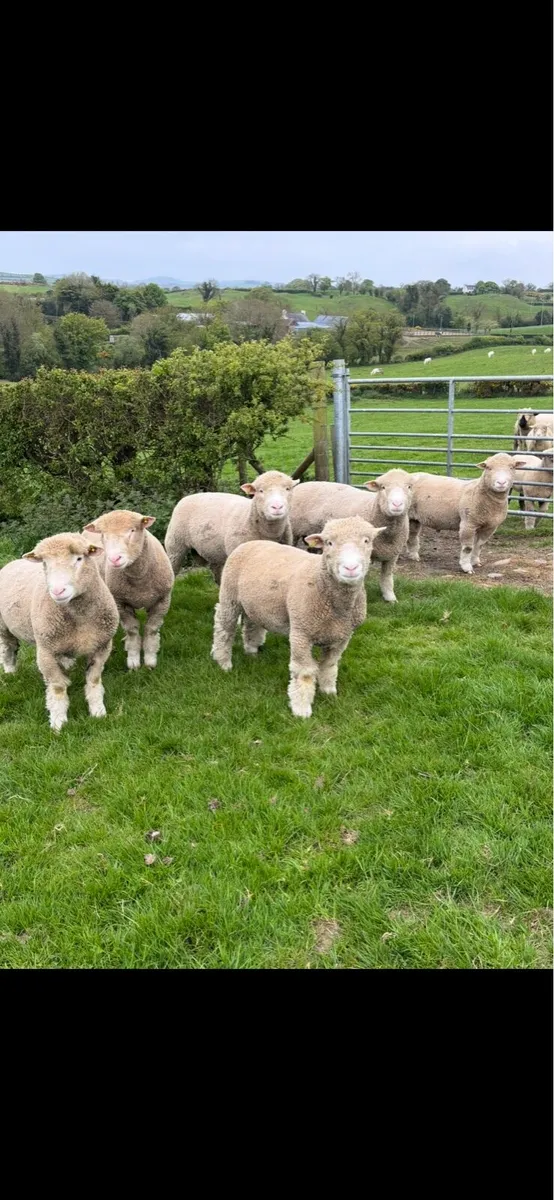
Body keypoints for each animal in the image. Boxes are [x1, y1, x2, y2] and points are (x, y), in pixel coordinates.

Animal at [0, 533, 119, 731]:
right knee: (8, 648)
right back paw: (10, 672)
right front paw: (58, 721)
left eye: (79, 558)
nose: (57, 591)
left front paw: (98, 711)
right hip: (4, 626)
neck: (80, 618)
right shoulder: (45, 652)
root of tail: (12, 562)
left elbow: (93, 680)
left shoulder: (102, 645)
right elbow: (57, 687)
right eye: (45, 563)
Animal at [83, 510, 174, 671]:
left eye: (132, 530)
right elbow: (132, 630)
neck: (139, 580)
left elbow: (151, 629)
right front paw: (133, 660)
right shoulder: (120, 603)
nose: (114, 559)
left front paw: (150, 659)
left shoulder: (163, 600)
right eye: (103, 535)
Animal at [164, 471, 297, 584]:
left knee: (217, 571)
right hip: (175, 546)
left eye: (288, 489)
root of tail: (188, 497)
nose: (277, 507)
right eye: (260, 491)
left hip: (214, 550)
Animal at [211, 516, 386, 718]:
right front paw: (301, 709)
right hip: (229, 596)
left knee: (251, 624)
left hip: (255, 604)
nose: (351, 567)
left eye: (367, 541)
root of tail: (251, 542)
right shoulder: (301, 633)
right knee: (224, 628)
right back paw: (223, 661)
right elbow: (305, 672)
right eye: (329, 543)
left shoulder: (342, 636)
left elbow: (329, 665)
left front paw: (329, 691)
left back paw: (252, 650)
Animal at [290, 469, 412, 603]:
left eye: (409, 487)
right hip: (294, 531)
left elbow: (387, 577)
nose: (397, 504)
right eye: (383, 487)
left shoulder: (392, 554)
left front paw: (390, 597)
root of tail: (302, 484)